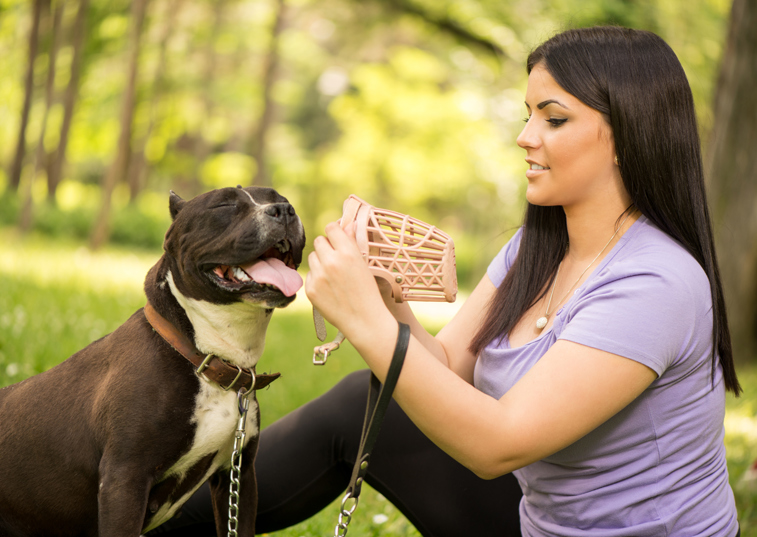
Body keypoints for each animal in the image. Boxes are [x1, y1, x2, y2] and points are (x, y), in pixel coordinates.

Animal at [0, 185, 308, 536]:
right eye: (224, 205)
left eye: (280, 197)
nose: (284, 210)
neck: (203, 355)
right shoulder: (124, 480)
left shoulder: (239, 477)